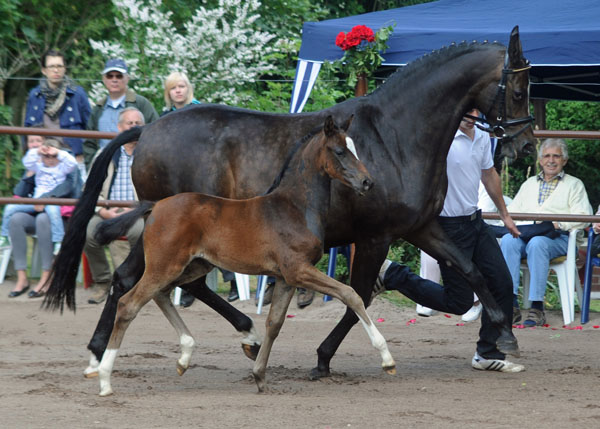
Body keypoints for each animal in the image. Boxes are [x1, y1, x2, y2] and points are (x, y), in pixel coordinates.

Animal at [96, 116, 392, 394]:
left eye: (354, 148)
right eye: (340, 151)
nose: (367, 182)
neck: (295, 207)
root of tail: (155, 206)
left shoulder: (285, 278)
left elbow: (274, 323)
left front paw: (259, 376)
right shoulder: (298, 269)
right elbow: (351, 294)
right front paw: (387, 358)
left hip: (194, 265)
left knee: (162, 294)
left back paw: (184, 356)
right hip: (165, 265)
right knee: (129, 304)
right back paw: (104, 379)